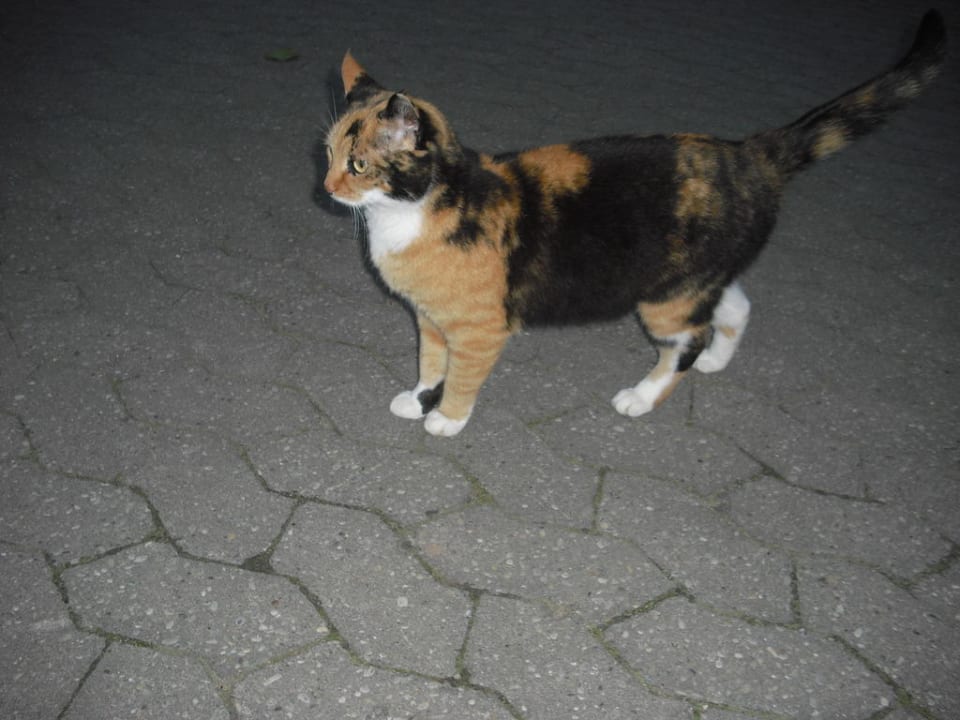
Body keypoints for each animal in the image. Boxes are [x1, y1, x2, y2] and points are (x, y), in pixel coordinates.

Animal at [321, 11, 945, 437]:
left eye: (359, 166)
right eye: (327, 154)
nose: (325, 188)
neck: (417, 209)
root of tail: (750, 153)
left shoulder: (478, 328)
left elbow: (464, 373)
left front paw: (449, 418)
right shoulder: (430, 319)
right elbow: (431, 363)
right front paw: (419, 398)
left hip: (667, 301)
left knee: (688, 341)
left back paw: (644, 396)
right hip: (686, 280)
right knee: (735, 306)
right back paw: (717, 359)